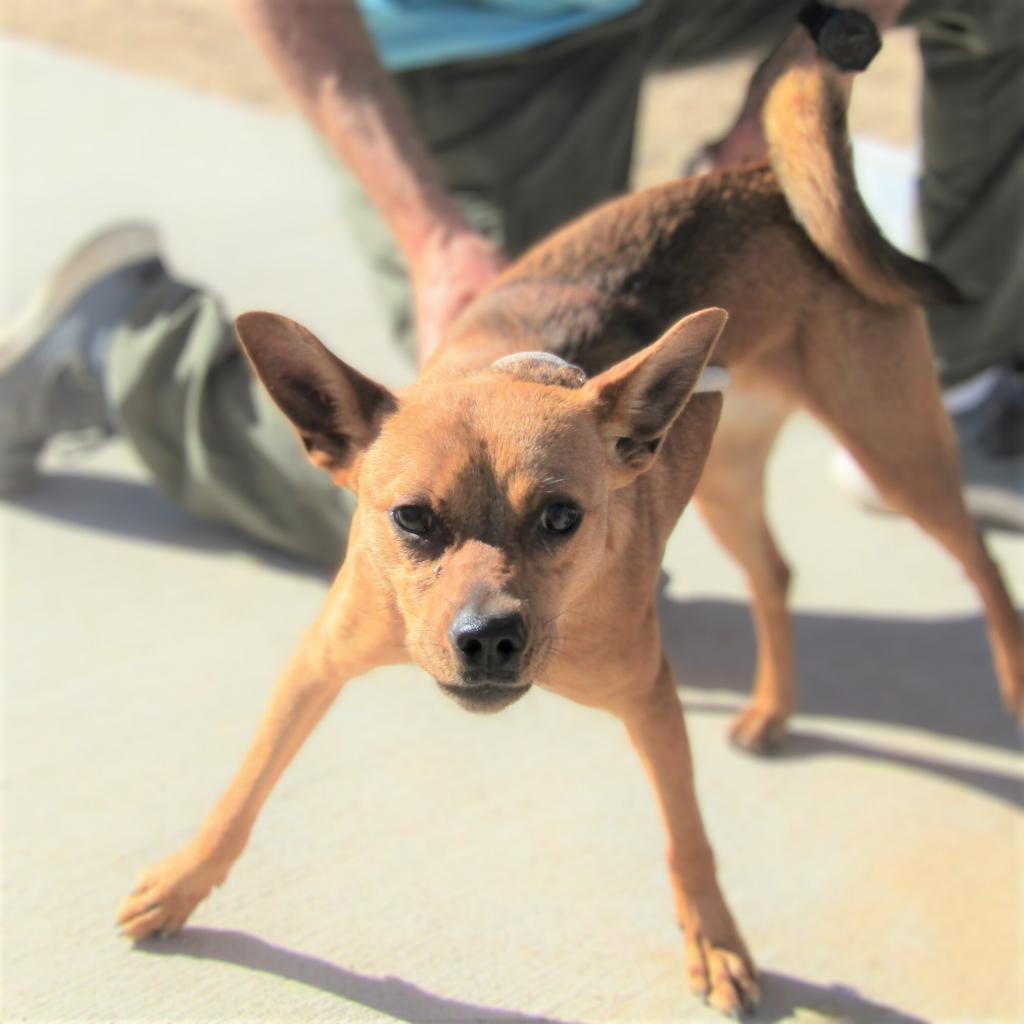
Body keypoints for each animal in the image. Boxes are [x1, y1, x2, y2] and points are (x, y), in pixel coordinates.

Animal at [116, 66, 1019, 1015]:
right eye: (411, 519)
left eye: (561, 518)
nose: (487, 639)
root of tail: (759, 181)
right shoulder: (318, 663)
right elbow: (245, 787)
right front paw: (183, 882)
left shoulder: (651, 702)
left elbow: (688, 838)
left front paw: (716, 941)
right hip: (730, 481)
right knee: (776, 571)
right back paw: (774, 707)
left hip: (897, 456)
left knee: (982, 559)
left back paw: (1012, 678)